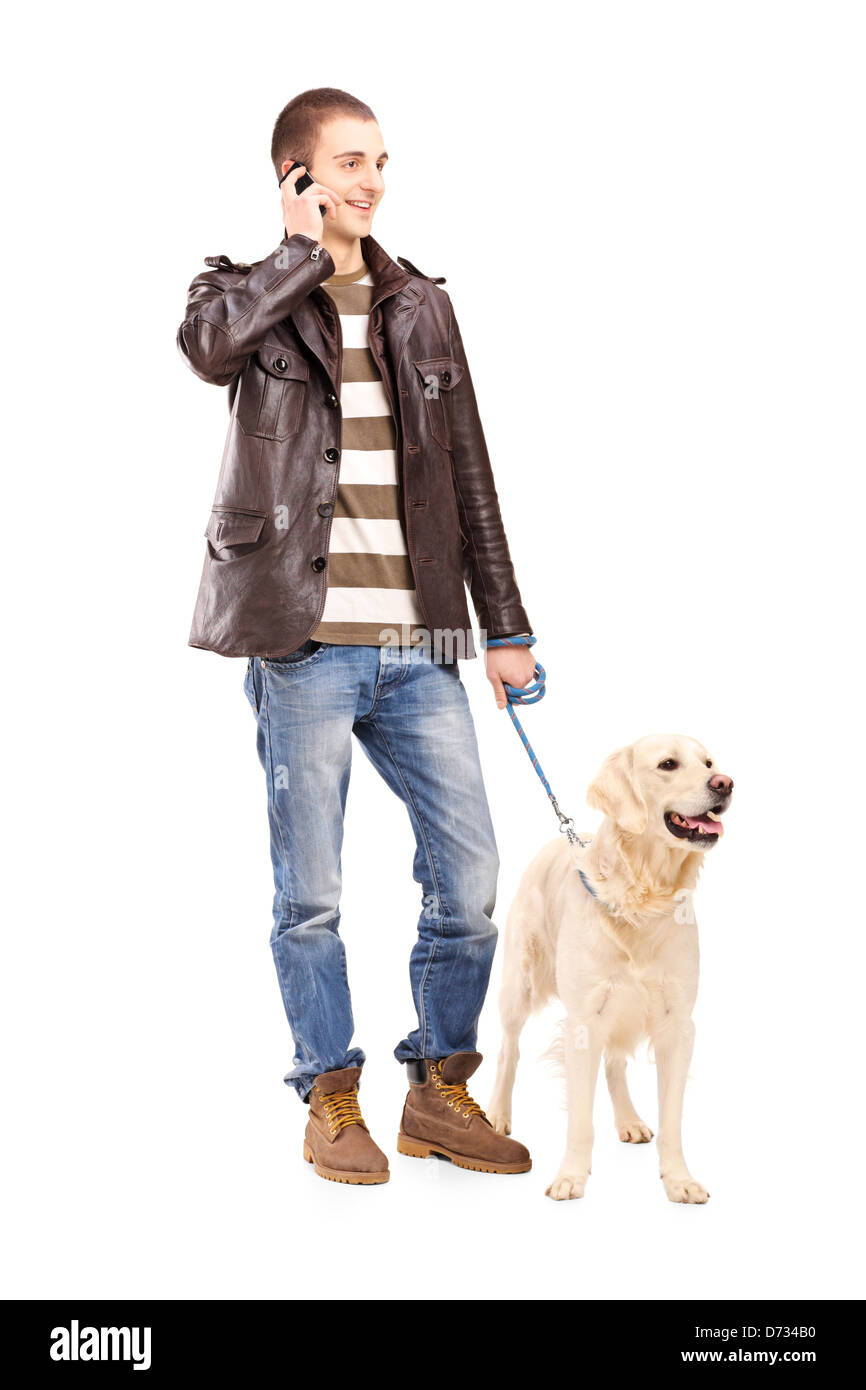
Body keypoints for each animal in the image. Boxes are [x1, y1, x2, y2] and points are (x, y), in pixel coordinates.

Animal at [489, 733, 733, 1200]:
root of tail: (562, 839)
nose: (725, 783)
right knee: (508, 1049)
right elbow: (580, 1119)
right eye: (668, 764)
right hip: (519, 982)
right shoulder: (584, 1018)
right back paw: (496, 1114)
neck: (643, 896)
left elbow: (672, 1119)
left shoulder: (677, 1023)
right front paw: (570, 1176)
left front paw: (679, 1180)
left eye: (710, 762)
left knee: (615, 1063)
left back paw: (630, 1120)